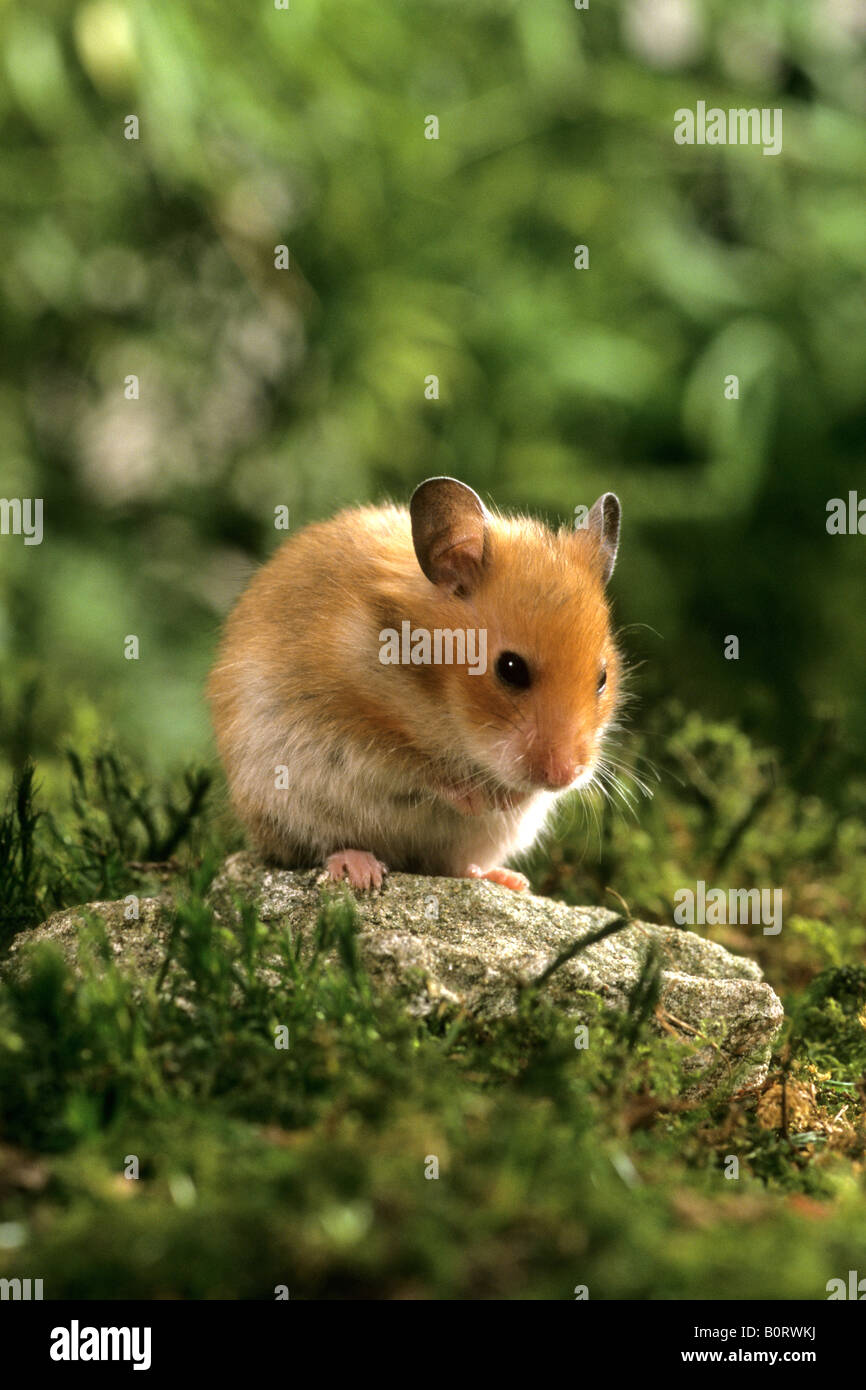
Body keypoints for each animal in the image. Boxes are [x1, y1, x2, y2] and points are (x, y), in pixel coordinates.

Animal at [208, 478, 622, 889]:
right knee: (322, 846)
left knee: (453, 864)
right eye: (510, 668)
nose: (563, 778)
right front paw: (479, 800)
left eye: (601, 678)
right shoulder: (355, 729)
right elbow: (422, 770)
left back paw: (507, 879)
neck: (437, 695)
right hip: (283, 805)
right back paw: (362, 872)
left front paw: (507, 801)